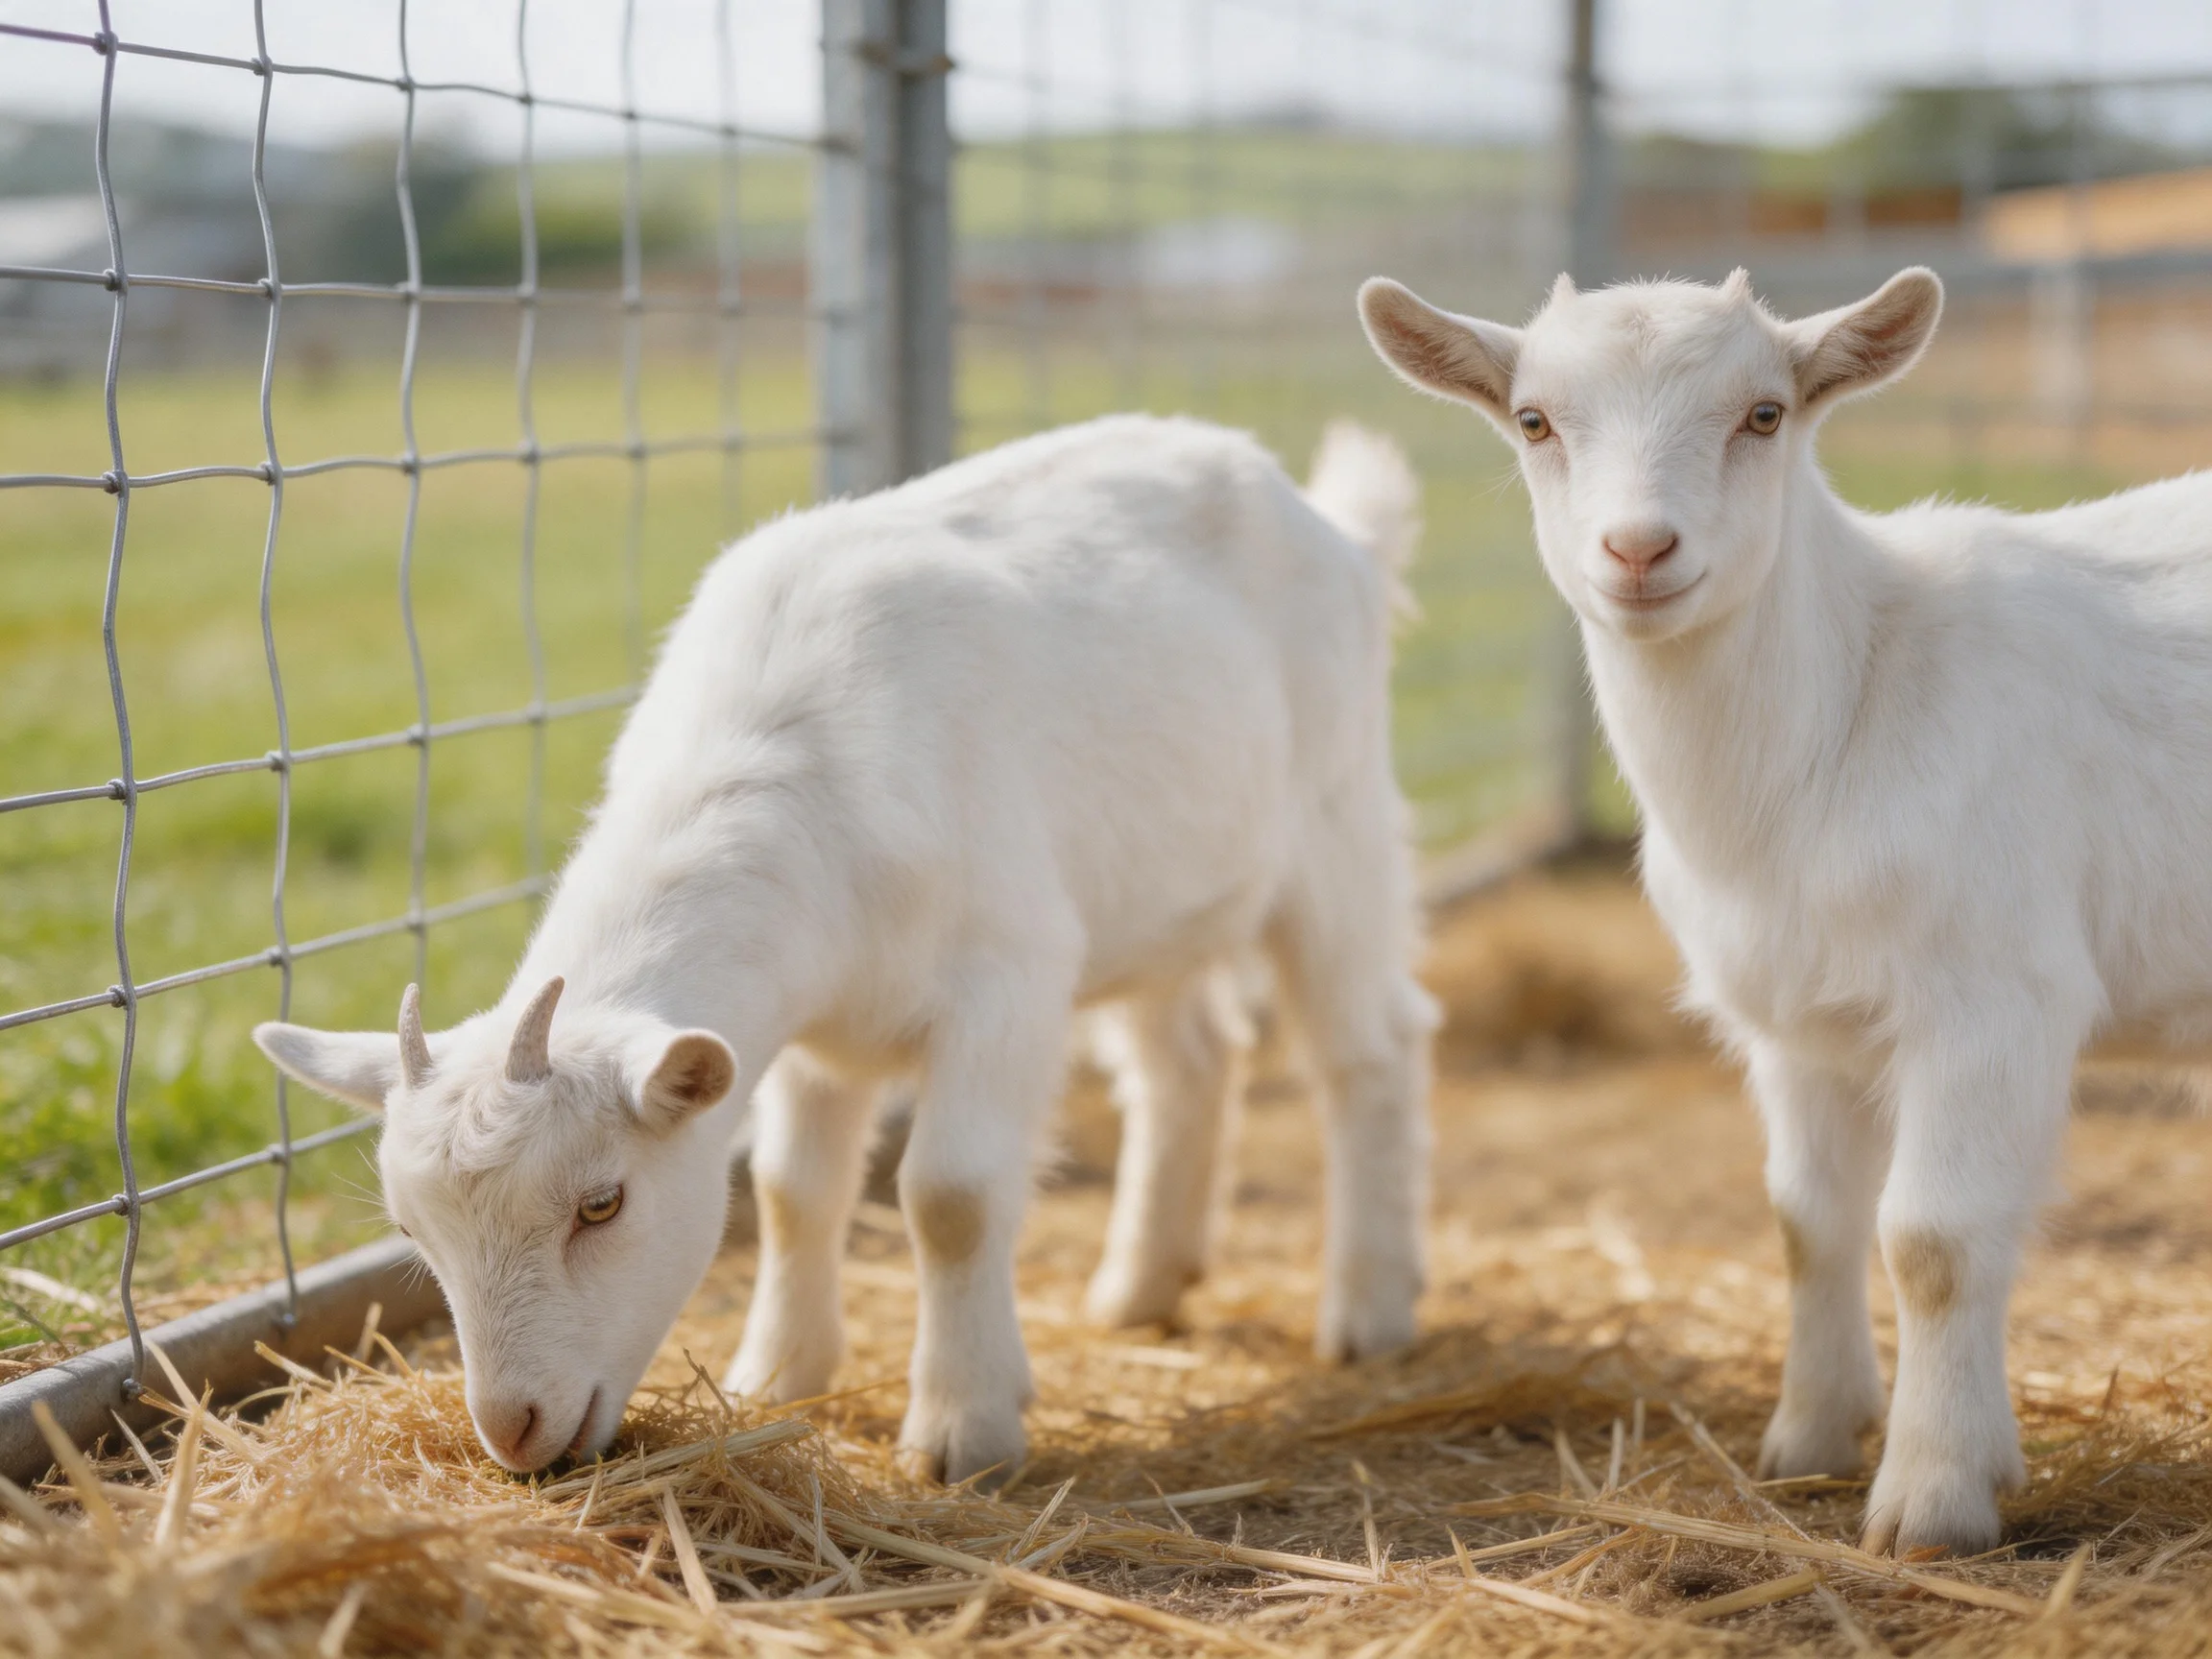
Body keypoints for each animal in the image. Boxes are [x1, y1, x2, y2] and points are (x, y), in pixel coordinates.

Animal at [256, 413, 1436, 1486]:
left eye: (603, 1204)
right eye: (413, 1232)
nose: (513, 1432)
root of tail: (1327, 520)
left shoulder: (1009, 977)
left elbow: (952, 1198)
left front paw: (964, 1431)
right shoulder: (810, 1023)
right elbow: (789, 1188)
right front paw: (778, 1377)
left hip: (1335, 825)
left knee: (1369, 1049)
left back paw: (1368, 1310)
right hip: (1158, 893)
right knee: (1186, 1058)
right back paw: (1141, 1286)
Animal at [1360, 263, 2212, 1555]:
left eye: (1763, 414)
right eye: (1535, 420)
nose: (1638, 549)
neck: (1854, 696)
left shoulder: (1995, 999)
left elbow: (1934, 1241)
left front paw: (1931, 1504)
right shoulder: (1799, 1020)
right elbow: (1808, 1221)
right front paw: (1809, 1444)